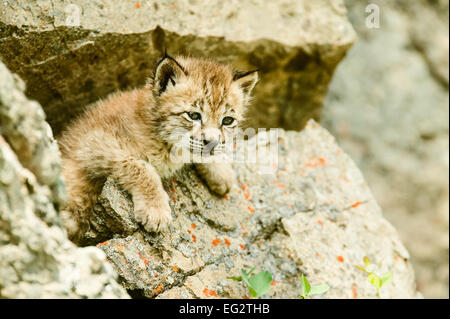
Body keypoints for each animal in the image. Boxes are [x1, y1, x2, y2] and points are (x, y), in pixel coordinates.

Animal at [58, 55, 258, 245]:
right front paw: (155, 210)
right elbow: (140, 166)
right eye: (193, 115)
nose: (212, 143)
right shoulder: (93, 143)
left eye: (227, 121)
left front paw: (221, 171)